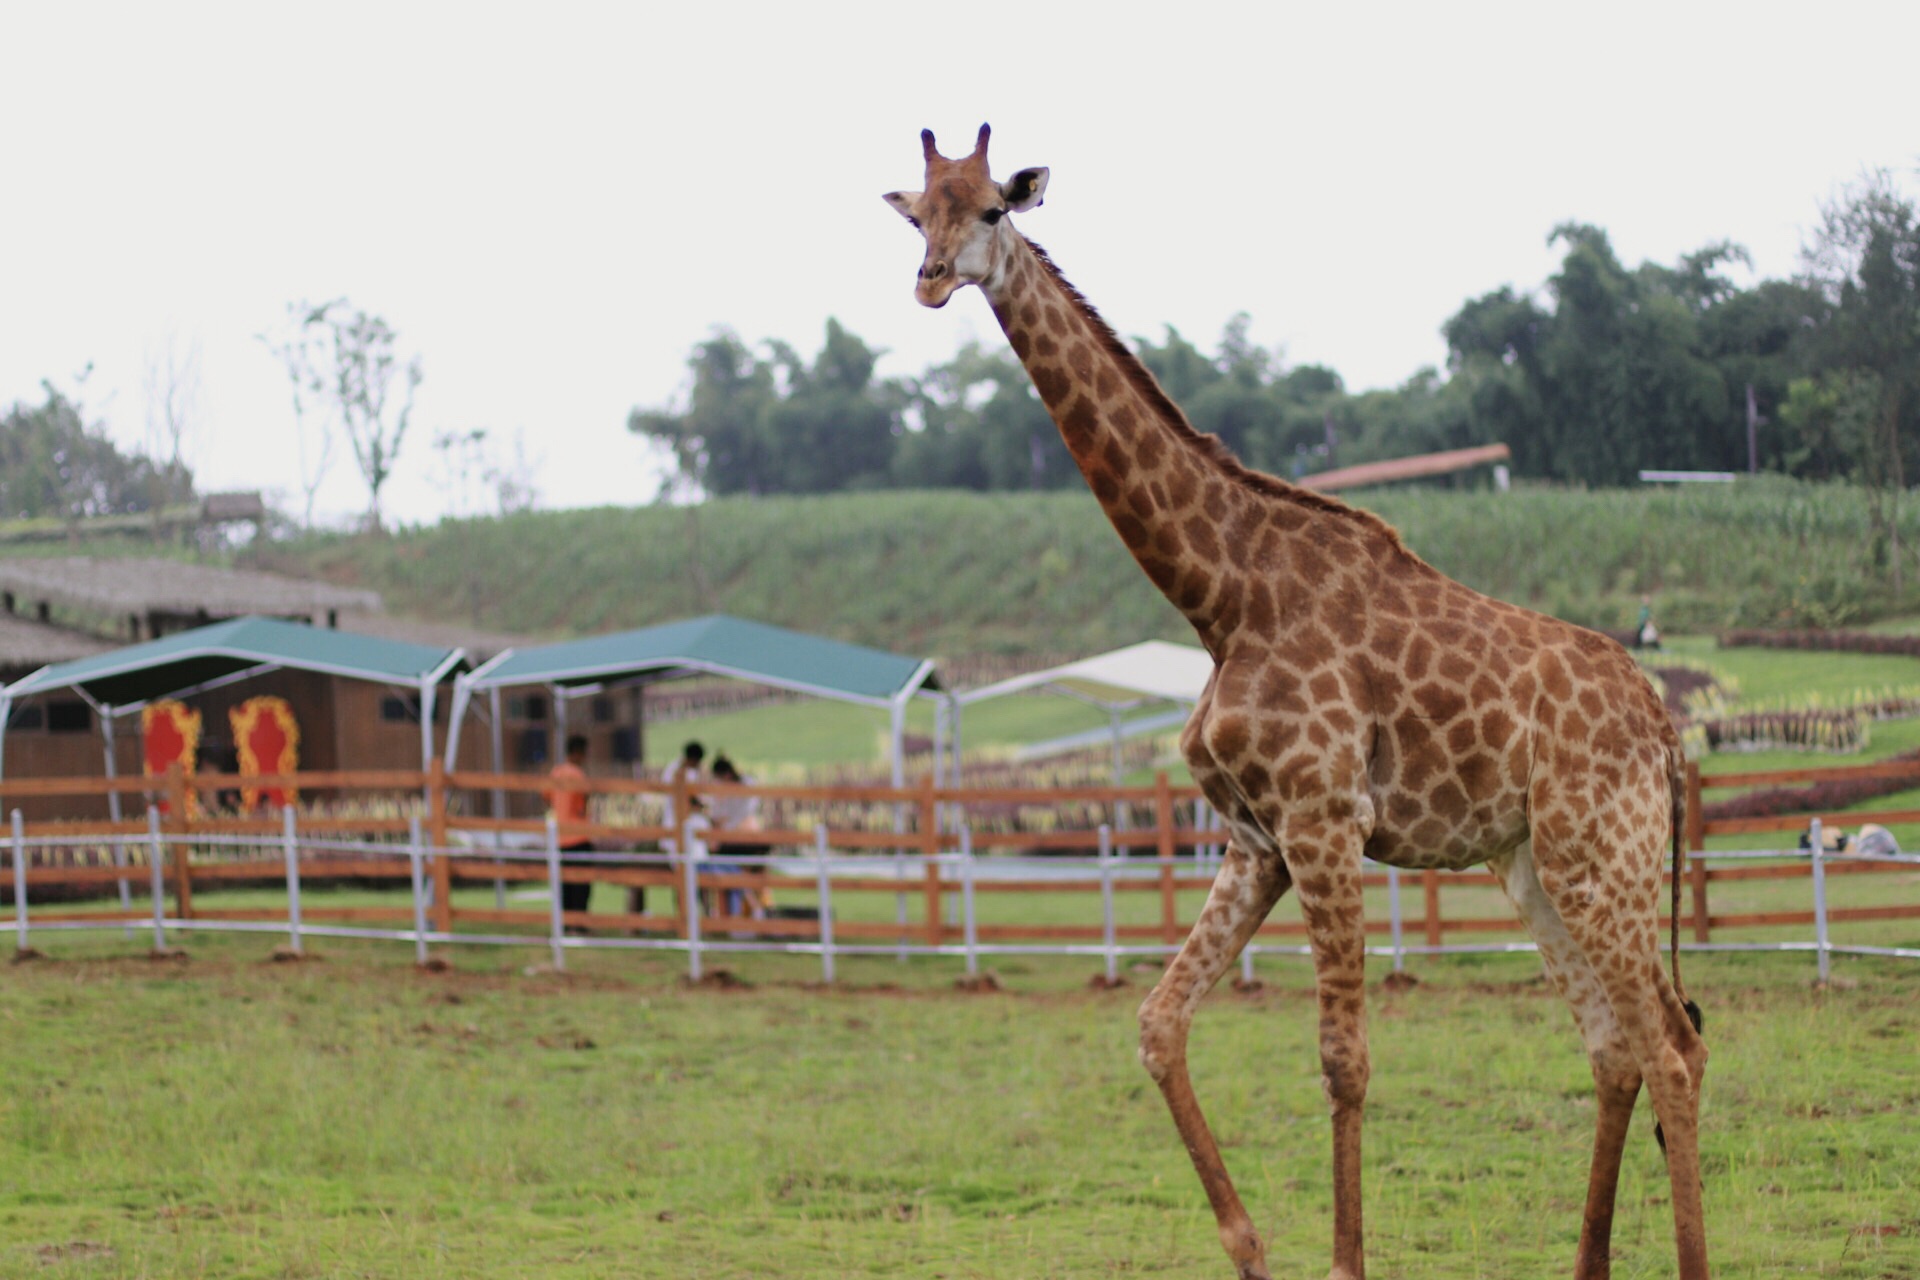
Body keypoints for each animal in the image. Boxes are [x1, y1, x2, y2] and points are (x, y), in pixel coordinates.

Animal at [883, 127, 1712, 1280]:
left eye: (994, 210)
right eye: (920, 213)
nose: (928, 279)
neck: (1218, 595)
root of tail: (1667, 731)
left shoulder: (1324, 820)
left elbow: (1343, 1058)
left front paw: (1343, 1259)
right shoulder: (1255, 837)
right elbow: (1158, 1023)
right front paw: (1252, 1250)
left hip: (1604, 854)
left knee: (1673, 1045)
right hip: (1536, 862)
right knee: (1615, 1045)